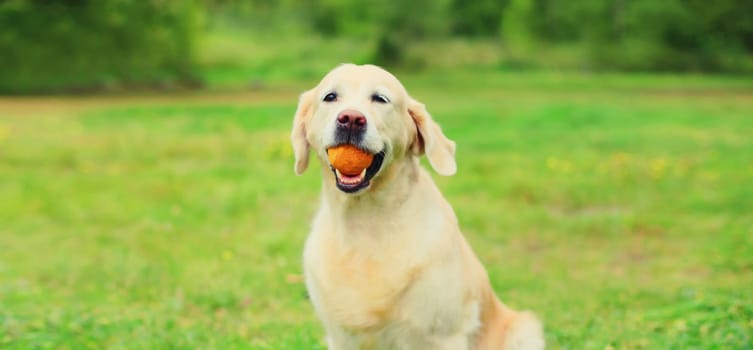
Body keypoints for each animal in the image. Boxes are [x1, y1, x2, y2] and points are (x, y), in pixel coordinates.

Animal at [290, 63, 544, 350]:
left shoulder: (446, 334)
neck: (367, 220)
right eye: (330, 97)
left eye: (380, 98)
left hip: (525, 329)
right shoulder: (341, 336)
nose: (351, 119)